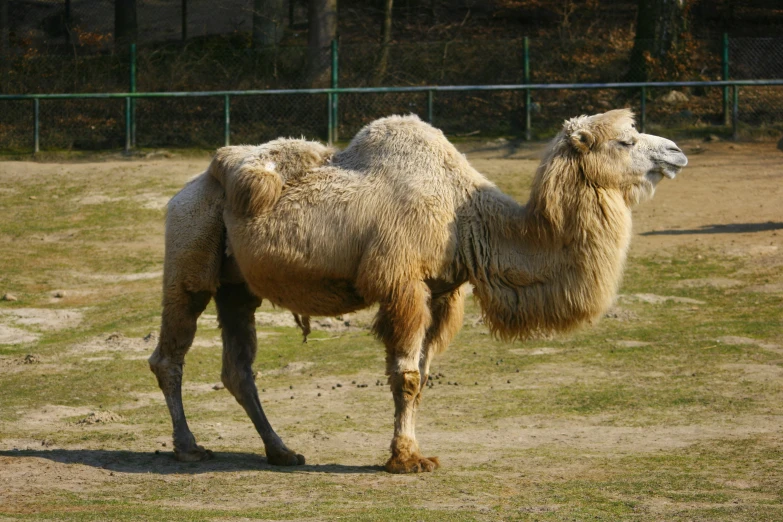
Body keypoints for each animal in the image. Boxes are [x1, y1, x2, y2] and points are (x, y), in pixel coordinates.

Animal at [147, 108, 688, 472]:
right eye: (625, 140)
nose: (677, 152)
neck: (464, 217)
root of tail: (188, 188)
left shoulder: (444, 291)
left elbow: (424, 375)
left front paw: (411, 450)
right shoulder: (402, 283)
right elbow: (405, 376)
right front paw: (406, 460)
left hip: (238, 287)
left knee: (238, 369)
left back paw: (282, 451)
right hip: (189, 254)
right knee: (170, 354)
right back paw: (189, 447)